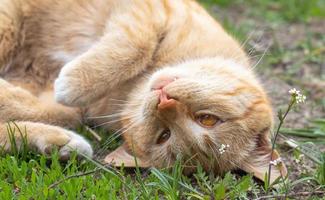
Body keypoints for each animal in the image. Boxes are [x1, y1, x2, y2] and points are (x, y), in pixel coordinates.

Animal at [0, 0, 284, 181]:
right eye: (208, 119)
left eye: (164, 135)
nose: (164, 99)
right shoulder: (151, 11)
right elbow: (134, 46)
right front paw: (74, 82)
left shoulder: (65, 106)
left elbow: (44, 109)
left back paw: (61, 145)